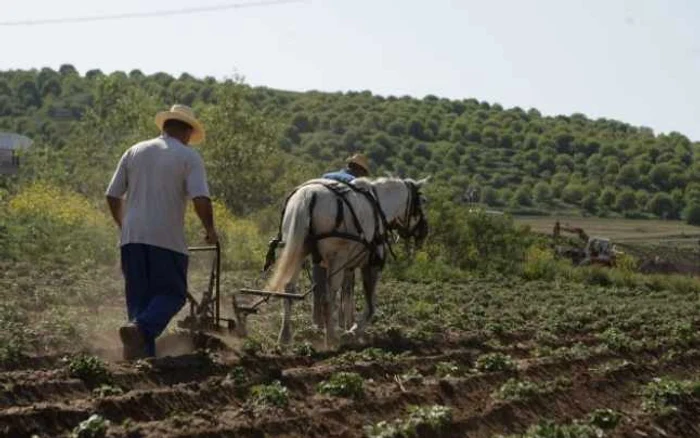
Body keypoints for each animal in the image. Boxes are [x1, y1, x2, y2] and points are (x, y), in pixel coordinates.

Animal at [268, 176, 430, 348]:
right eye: (422, 202)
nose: (424, 231)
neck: (378, 206)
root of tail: (309, 195)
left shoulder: (349, 267)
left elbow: (347, 295)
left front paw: (348, 326)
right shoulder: (372, 264)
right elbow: (371, 304)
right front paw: (353, 331)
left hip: (297, 251)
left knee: (289, 289)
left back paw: (285, 337)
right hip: (336, 258)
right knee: (328, 296)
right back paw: (331, 337)